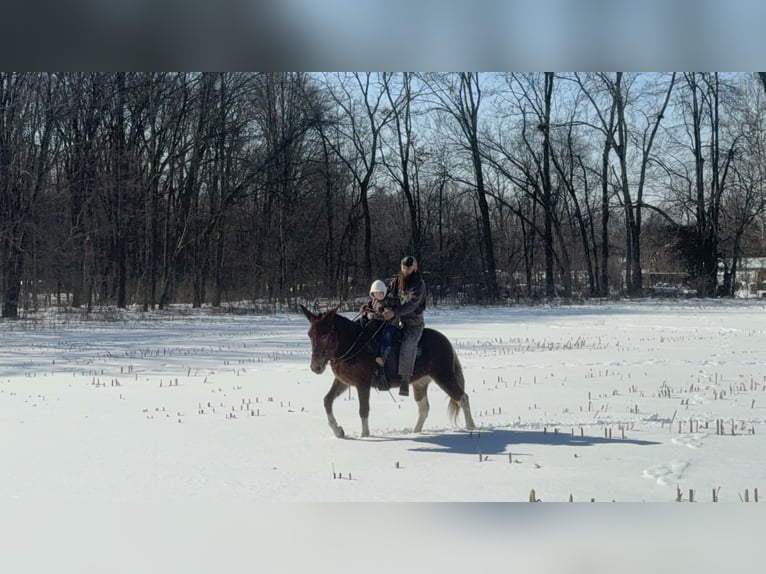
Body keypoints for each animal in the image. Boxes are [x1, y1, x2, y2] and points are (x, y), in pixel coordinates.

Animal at [300, 305, 476, 438]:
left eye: (324, 335)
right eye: (309, 334)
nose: (315, 367)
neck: (354, 344)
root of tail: (445, 341)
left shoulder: (362, 384)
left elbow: (364, 410)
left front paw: (365, 436)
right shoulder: (343, 381)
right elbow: (327, 400)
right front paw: (338, 431)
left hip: (444, 376)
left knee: (462, 398)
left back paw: (471, 428)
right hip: (420, 383)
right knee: (424, 408)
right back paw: (416, 432)